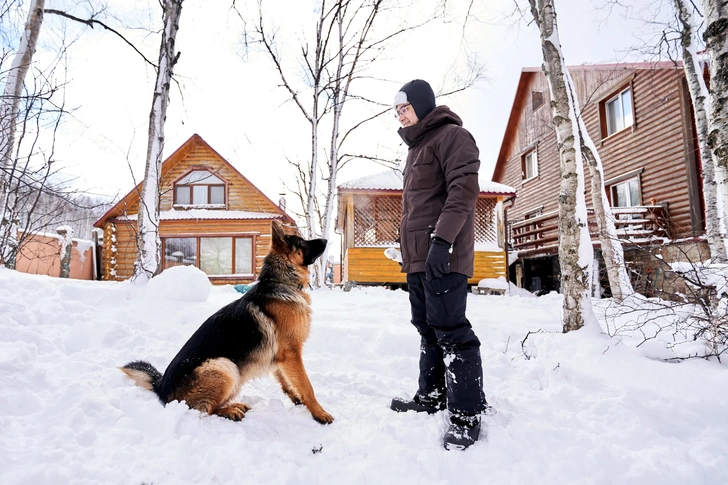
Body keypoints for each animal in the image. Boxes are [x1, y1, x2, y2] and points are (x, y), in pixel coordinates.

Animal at [121, 219, 334, 424]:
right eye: (302, 242)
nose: (326, 240)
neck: (281, 281)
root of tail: (161, 386)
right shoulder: (291, 353)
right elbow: (307, 386)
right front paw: (319, 413)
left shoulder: (280, 356)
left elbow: (286, 381)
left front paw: (297, 399)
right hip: (224, 366)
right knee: (204, 409)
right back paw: (231, 410)